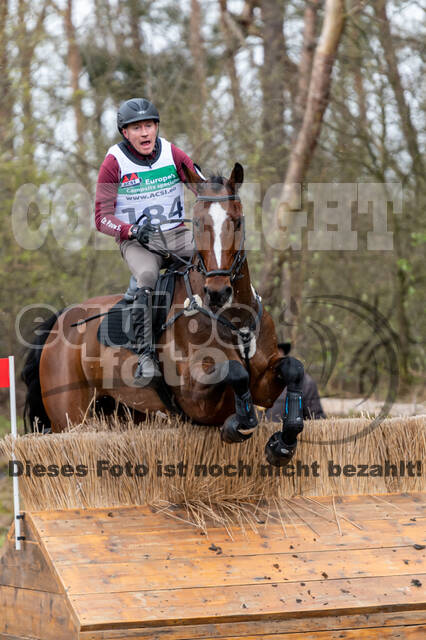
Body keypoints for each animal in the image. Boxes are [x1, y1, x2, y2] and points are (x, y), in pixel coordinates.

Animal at [21, 164, 304, 464]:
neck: (234, 319)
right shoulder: (195, 396)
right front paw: (237, 425)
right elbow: (236, 373)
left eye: (237, 221)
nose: (218, 291)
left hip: (121, 413)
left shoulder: (264, 385)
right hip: (70, 417)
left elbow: (294, 368)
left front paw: (283, 444)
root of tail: (60, 319)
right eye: (198, 223)